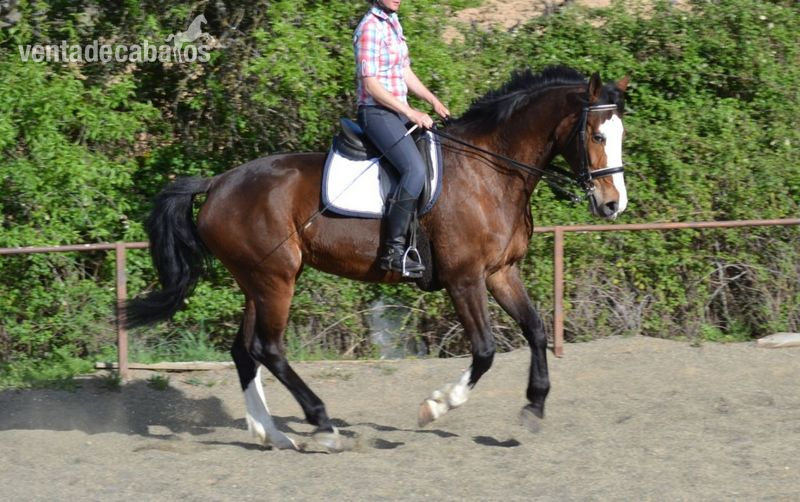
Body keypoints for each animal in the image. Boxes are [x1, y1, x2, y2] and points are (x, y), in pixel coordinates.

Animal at [127, 66, 630, 451]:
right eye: (596, 134)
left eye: (621, 135)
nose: (612, 205)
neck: (492, 171)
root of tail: (217, 183)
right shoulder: (465, 279)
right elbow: (486, 350)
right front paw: (435, 406)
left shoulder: (502, 272)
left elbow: (536, 329)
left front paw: (533, 407)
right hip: (275, 280)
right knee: (268, 349)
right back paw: (322, 426)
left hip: (257, 281)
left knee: (245, 351)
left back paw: (272, 434)